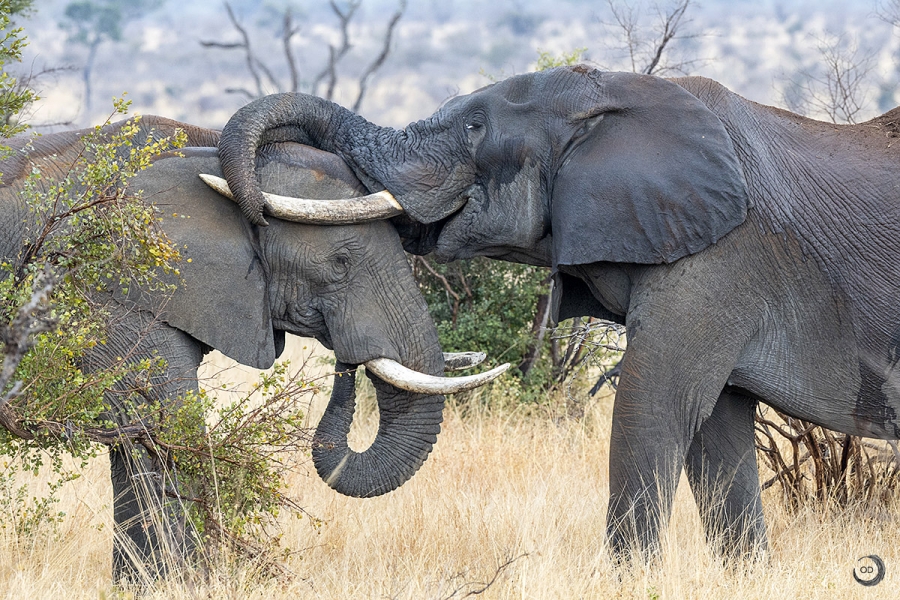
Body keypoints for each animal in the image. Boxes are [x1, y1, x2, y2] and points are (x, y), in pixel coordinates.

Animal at [0, 116, 504, 581]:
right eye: (341, 263)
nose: (347, 359)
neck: (204, 154)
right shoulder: (111, 292)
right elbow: (159, 427)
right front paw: (183, 583)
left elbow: (134, 444)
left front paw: (142, 584)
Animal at [213, 65, 900, 559]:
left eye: (474, 128)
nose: (256, 204)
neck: (618, 93)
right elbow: (719, 430)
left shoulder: (721, 257)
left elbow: (653, 405)